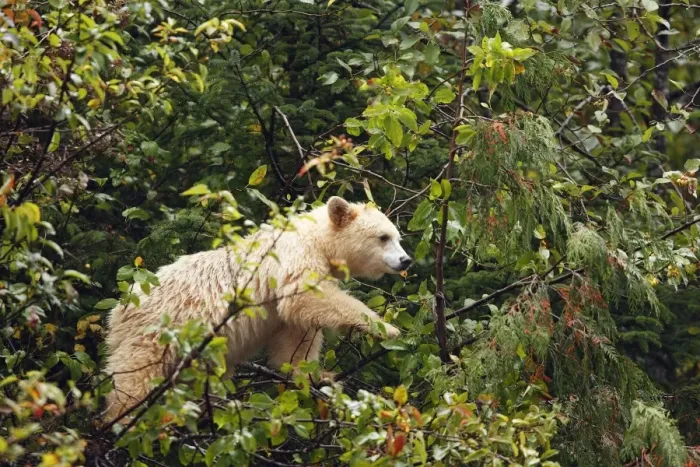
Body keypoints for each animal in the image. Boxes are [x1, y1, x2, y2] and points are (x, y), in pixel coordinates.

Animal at [103, 196, 412, 423]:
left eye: (397, 236)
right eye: (383, 237)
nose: (405, 260)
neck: (316, 239)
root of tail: (118, 312)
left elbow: (295, 337)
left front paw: (316, 375)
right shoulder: (295, 258)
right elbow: (305, 298)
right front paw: (388, 328)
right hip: (156, 332)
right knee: (134, 379)